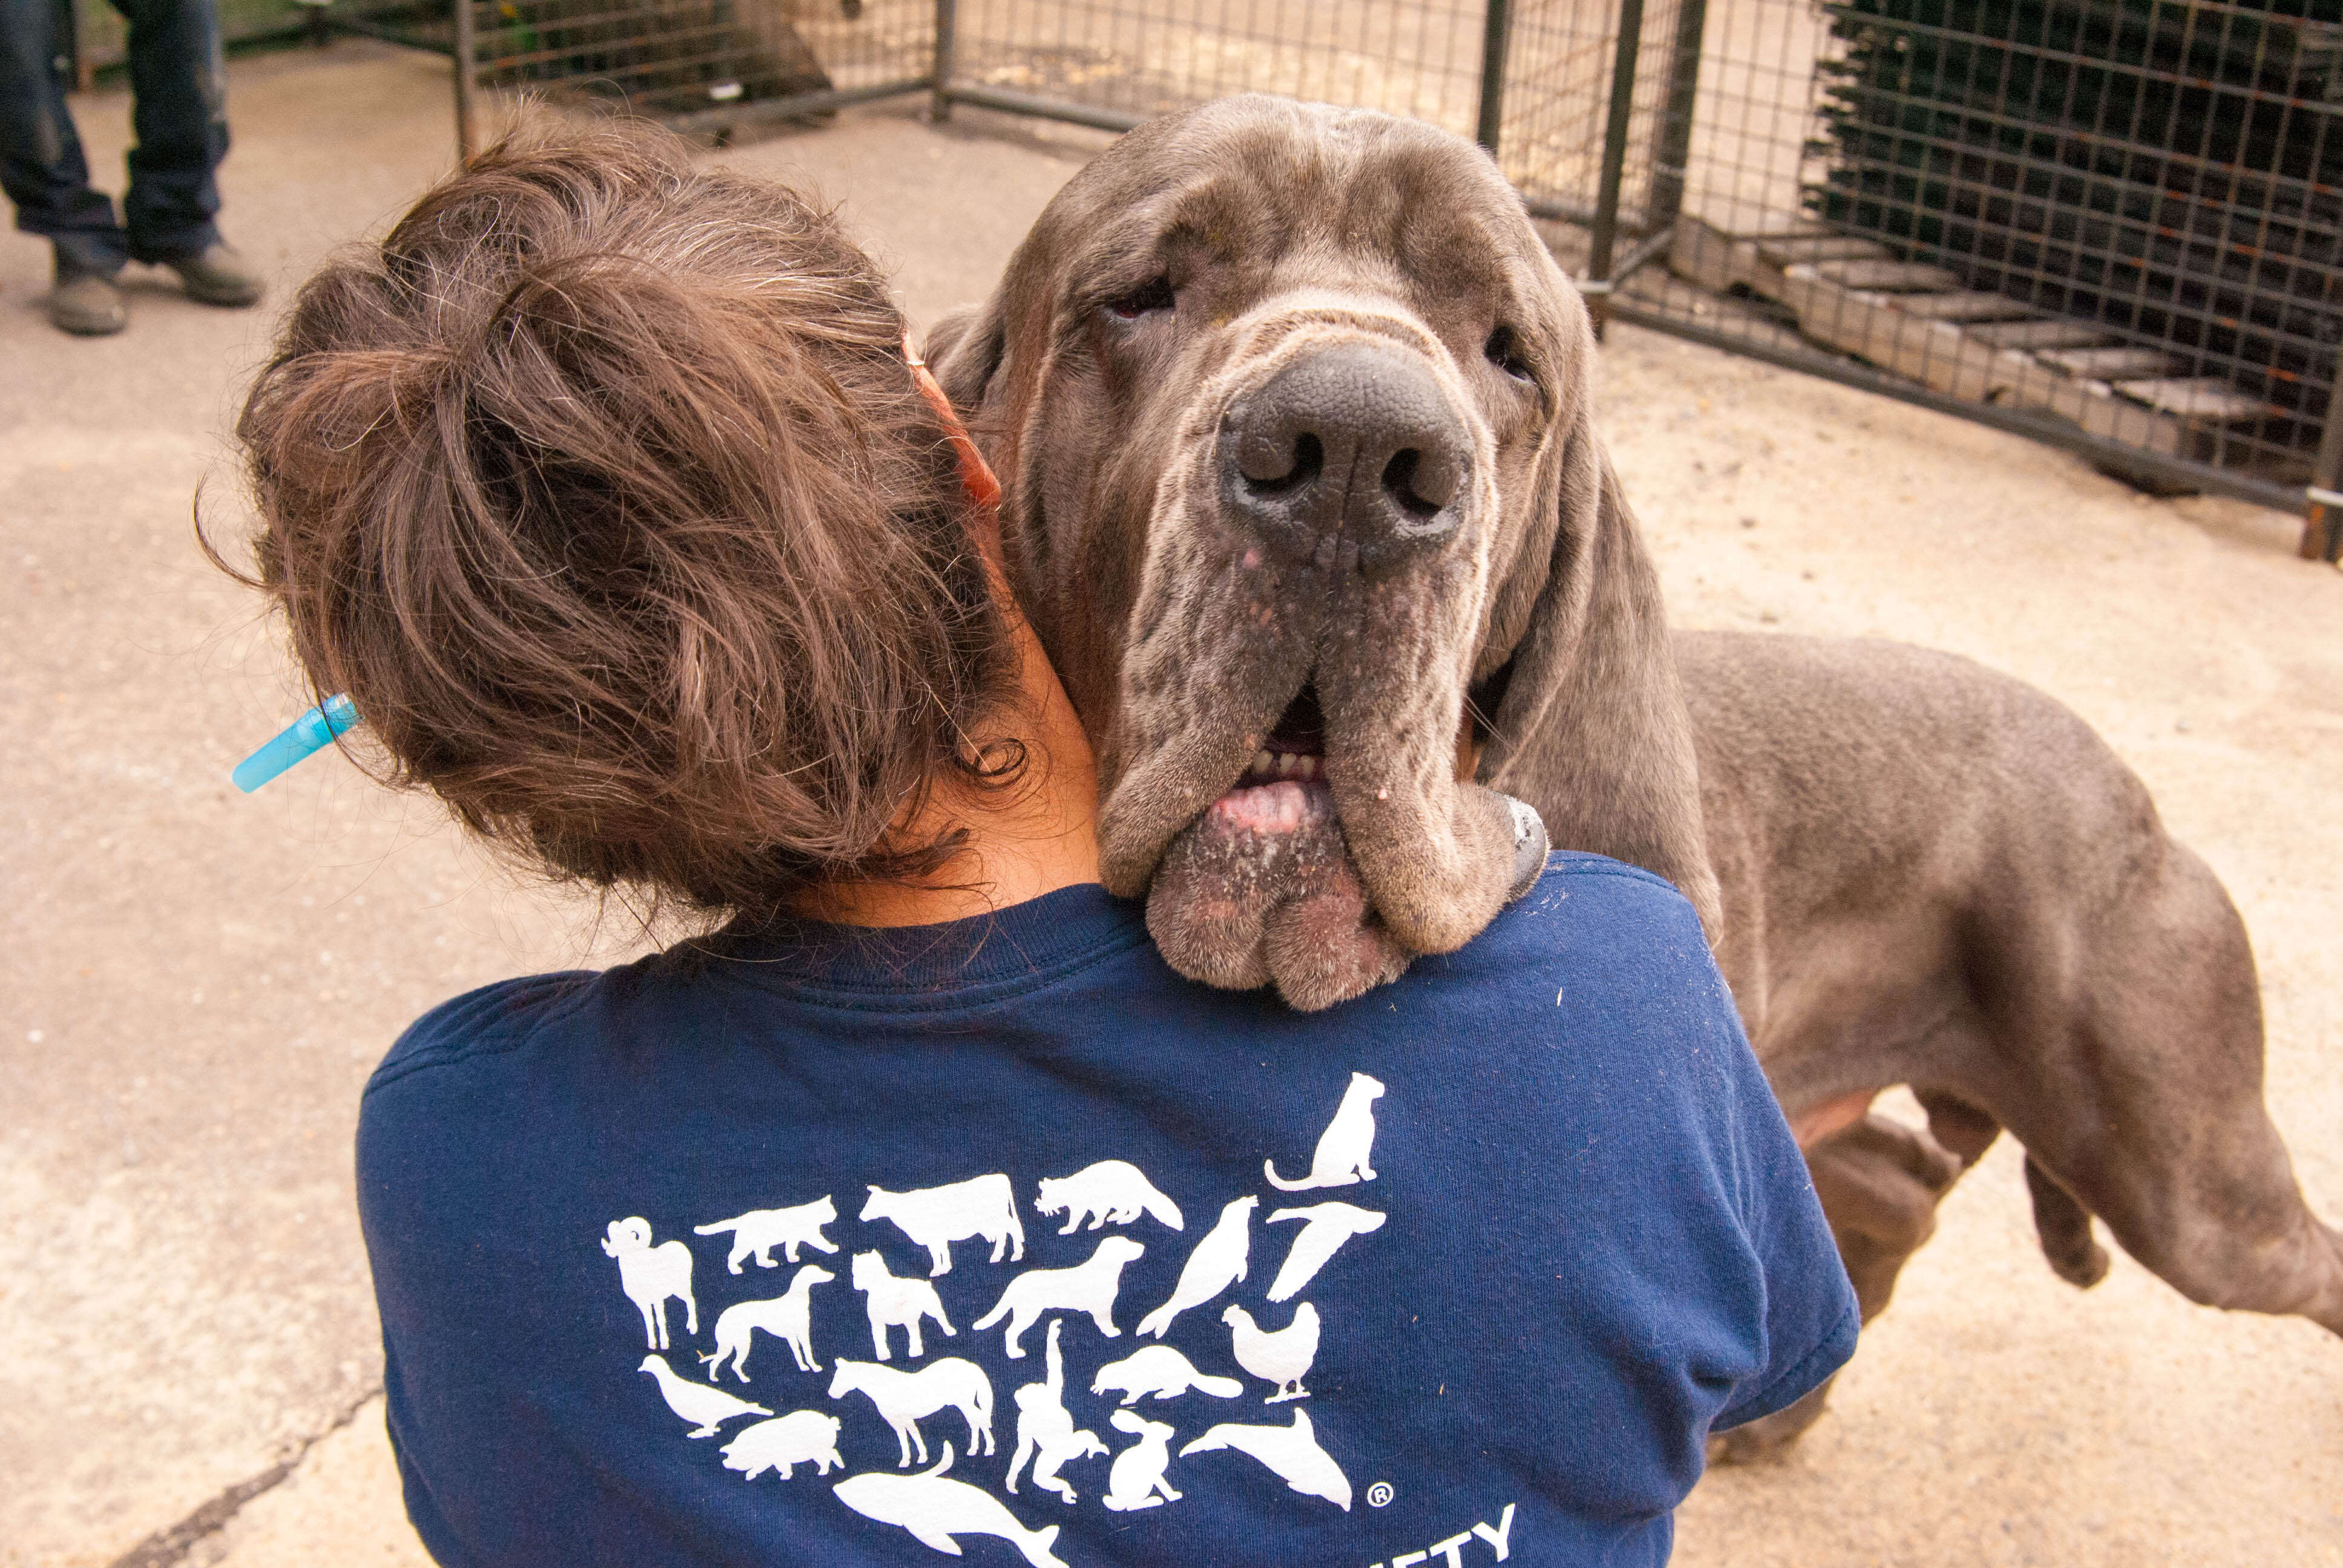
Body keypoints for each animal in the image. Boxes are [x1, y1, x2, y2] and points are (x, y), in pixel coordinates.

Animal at [918, 94, 2343, 1443]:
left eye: (1511, 352)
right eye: (1142, 291)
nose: (1356, 455)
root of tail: (2124, 782)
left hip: (2183, 1179)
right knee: (1896, 1187)